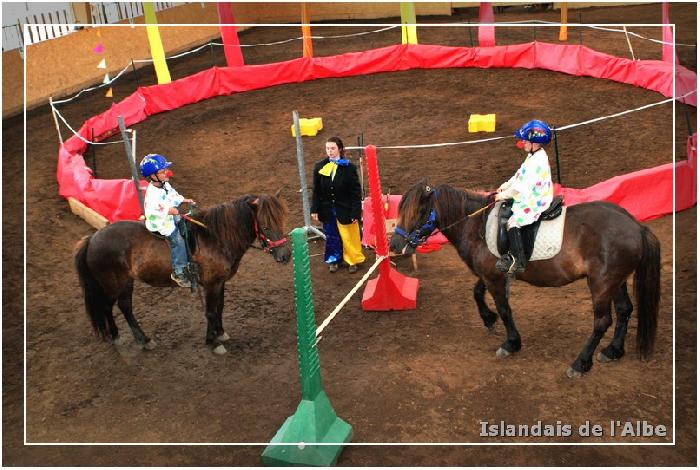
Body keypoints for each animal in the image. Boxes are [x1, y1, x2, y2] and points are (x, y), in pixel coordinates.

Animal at [76, 194, 292, 352]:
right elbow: (211, 311)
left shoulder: (220, 282)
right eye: (265, 226)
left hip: (126, 282)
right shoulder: (211, 283)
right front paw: (213, 341)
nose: (285, 255)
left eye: (282, 221)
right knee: (107, 306)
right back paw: (118, 336)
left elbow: (219, 307)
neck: (216, 238)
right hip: (113, 283)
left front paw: (219, 333)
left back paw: (143, 339)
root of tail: (92, 238)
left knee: (124, 306)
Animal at [388, 181, 660, 378]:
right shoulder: (494, 273)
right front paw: (488, 319)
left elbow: (504, 309)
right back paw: (613, 350)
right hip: (616, 281)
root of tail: (636, 225)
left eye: (419, 212)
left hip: (601, 283)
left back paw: (581, 363)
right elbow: (477, 292)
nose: (395, 245)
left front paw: (511, 343)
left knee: (602, 321)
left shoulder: (494, 278)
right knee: (625, 310)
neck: (476, 227)